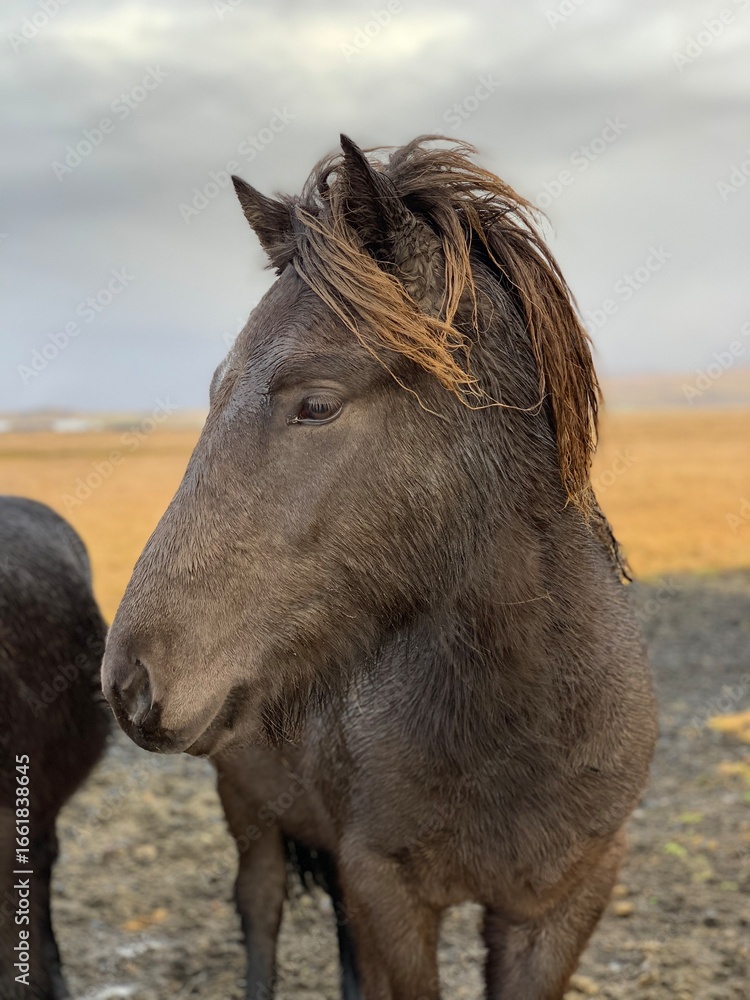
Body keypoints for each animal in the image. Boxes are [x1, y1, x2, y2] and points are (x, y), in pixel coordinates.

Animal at [102, 135, 658, 999]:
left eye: (317, 404)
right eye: (214, 388)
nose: (129, 681)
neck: (521, 723)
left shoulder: (562, 902)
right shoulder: (387, 891)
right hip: (250, 815)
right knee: (260, 909)